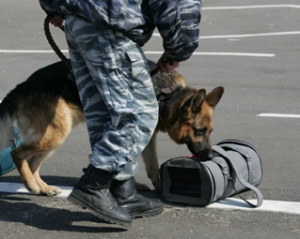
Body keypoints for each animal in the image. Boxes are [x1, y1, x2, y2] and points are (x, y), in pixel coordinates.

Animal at [0, 60, 224, 196]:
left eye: (210, 132)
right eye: (200, 131)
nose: (211, 156)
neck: (165, 95)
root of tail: (22, 86)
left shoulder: (145, 138)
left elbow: (151, 165)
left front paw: (157, 187)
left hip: (53, 136)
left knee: (33, 163)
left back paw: (42, 188)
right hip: (55, 134)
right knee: (17, 153)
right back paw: (31, 185)